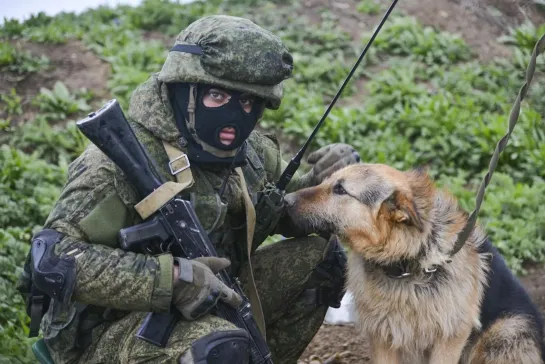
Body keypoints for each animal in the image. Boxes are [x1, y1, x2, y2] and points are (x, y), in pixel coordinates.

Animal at [284, 164, 544, 364]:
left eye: (340, 189)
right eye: (327, 181)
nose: (285, 200)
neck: (405, 265)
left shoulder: (451, 337)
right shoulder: (383, 336)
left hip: (505, 332)